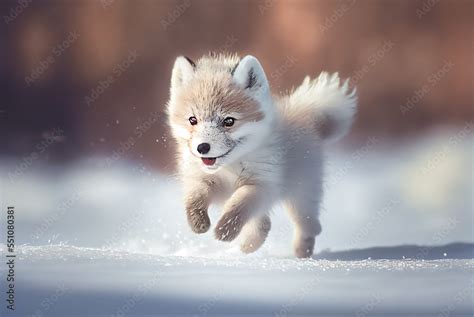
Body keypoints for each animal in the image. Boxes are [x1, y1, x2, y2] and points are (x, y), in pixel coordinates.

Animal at [167, 53, 356, 256]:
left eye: (229, 121)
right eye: (192, 120)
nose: (202, 147)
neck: (230, 168)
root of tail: (307, 117)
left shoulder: (260, 185)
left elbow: (237, 206)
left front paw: (224, 231)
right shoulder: (203, 180)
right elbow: (195, 200)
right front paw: (199, 223)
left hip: (299, 198)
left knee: (309, 225)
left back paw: (302, 251)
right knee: (265, 224)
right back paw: (249, 246)